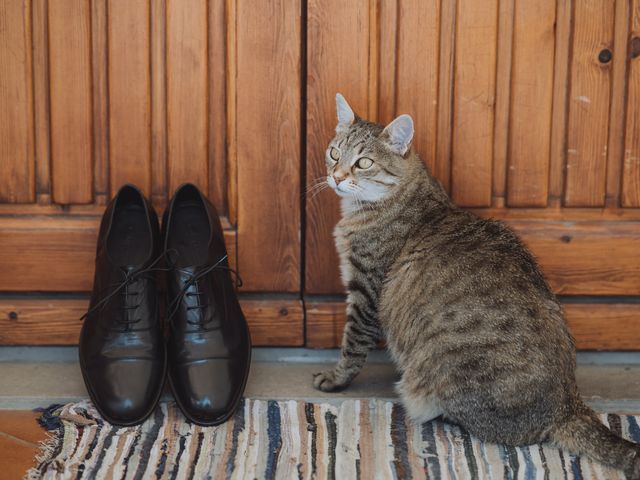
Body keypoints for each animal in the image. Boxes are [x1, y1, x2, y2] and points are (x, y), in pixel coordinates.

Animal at [314, 93, 640, 476]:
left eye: (363, 162)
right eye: (335, 152)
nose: (336, 176)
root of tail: (567, 405)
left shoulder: (366, 290)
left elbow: (352, 345)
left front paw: (336, 378)